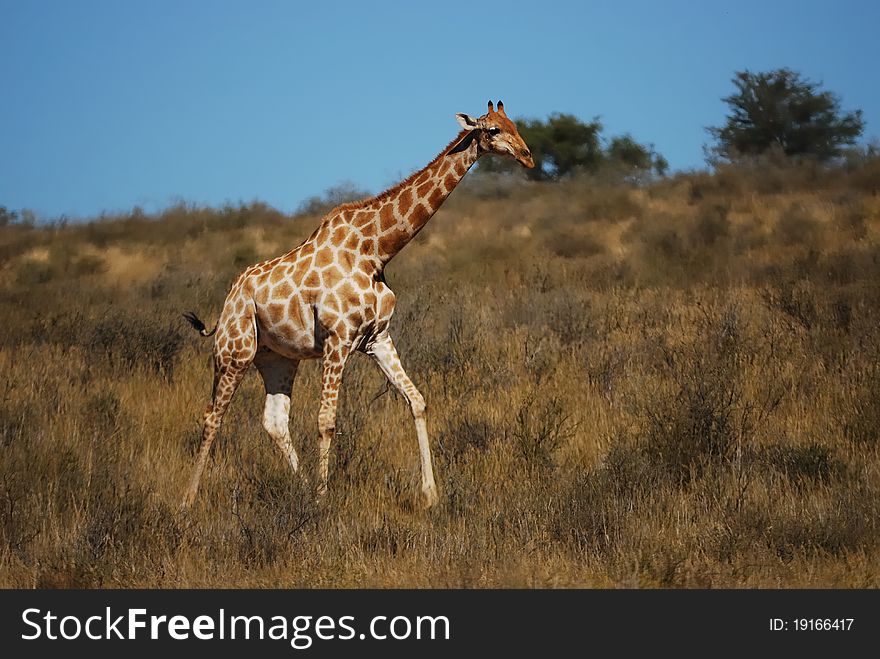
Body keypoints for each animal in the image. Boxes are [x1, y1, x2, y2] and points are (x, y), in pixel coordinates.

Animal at [182, 99, 532, 510]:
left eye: (514, 124)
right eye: (492, 130)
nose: (528, 156)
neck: (376, 250)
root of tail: (229, 300)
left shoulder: (377, 338)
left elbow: (417, 401)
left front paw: (430, 494)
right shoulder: (337, 339)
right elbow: (326, 420)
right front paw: (322, 499)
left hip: (277, 357)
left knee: (274, 421)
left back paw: (300, 486)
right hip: (233, 352)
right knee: (212, 416)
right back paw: (188, 500)